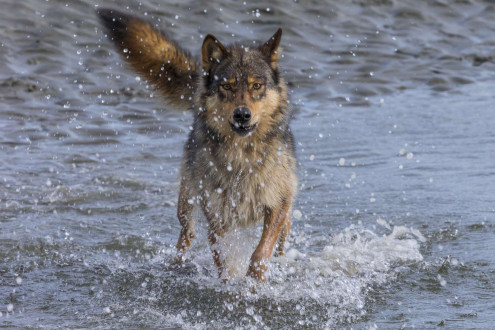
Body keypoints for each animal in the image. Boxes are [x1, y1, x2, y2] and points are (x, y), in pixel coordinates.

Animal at [99, 9, 296, 280]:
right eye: (227, 86)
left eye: (256, 86)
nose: (242, 115)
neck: (241, 158)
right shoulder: (216, 216)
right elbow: (224, 258)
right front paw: (231, 285)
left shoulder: (277, 204)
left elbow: (260, 253)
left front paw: (253, 281)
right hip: (186, 201)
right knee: (186, 235)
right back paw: (174, 265)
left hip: (287, 208)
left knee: (283, 239)